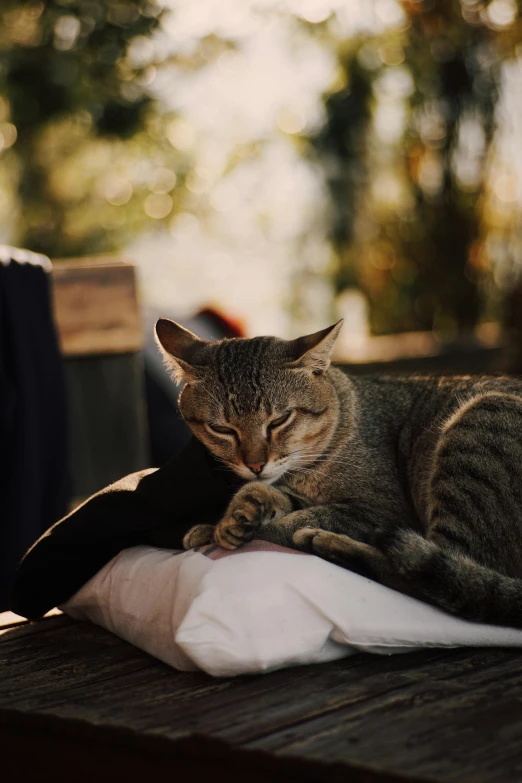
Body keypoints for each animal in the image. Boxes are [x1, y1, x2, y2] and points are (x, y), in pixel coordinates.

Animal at [154, 316, 522, 628]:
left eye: (279, 421)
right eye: (222, 429)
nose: (255, 464)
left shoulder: (380, 508)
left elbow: (286, 526)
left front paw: (214, 530)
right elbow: (282, 502)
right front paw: (240, 513)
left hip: (478, 427)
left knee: (443, 580)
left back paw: (328, 544)